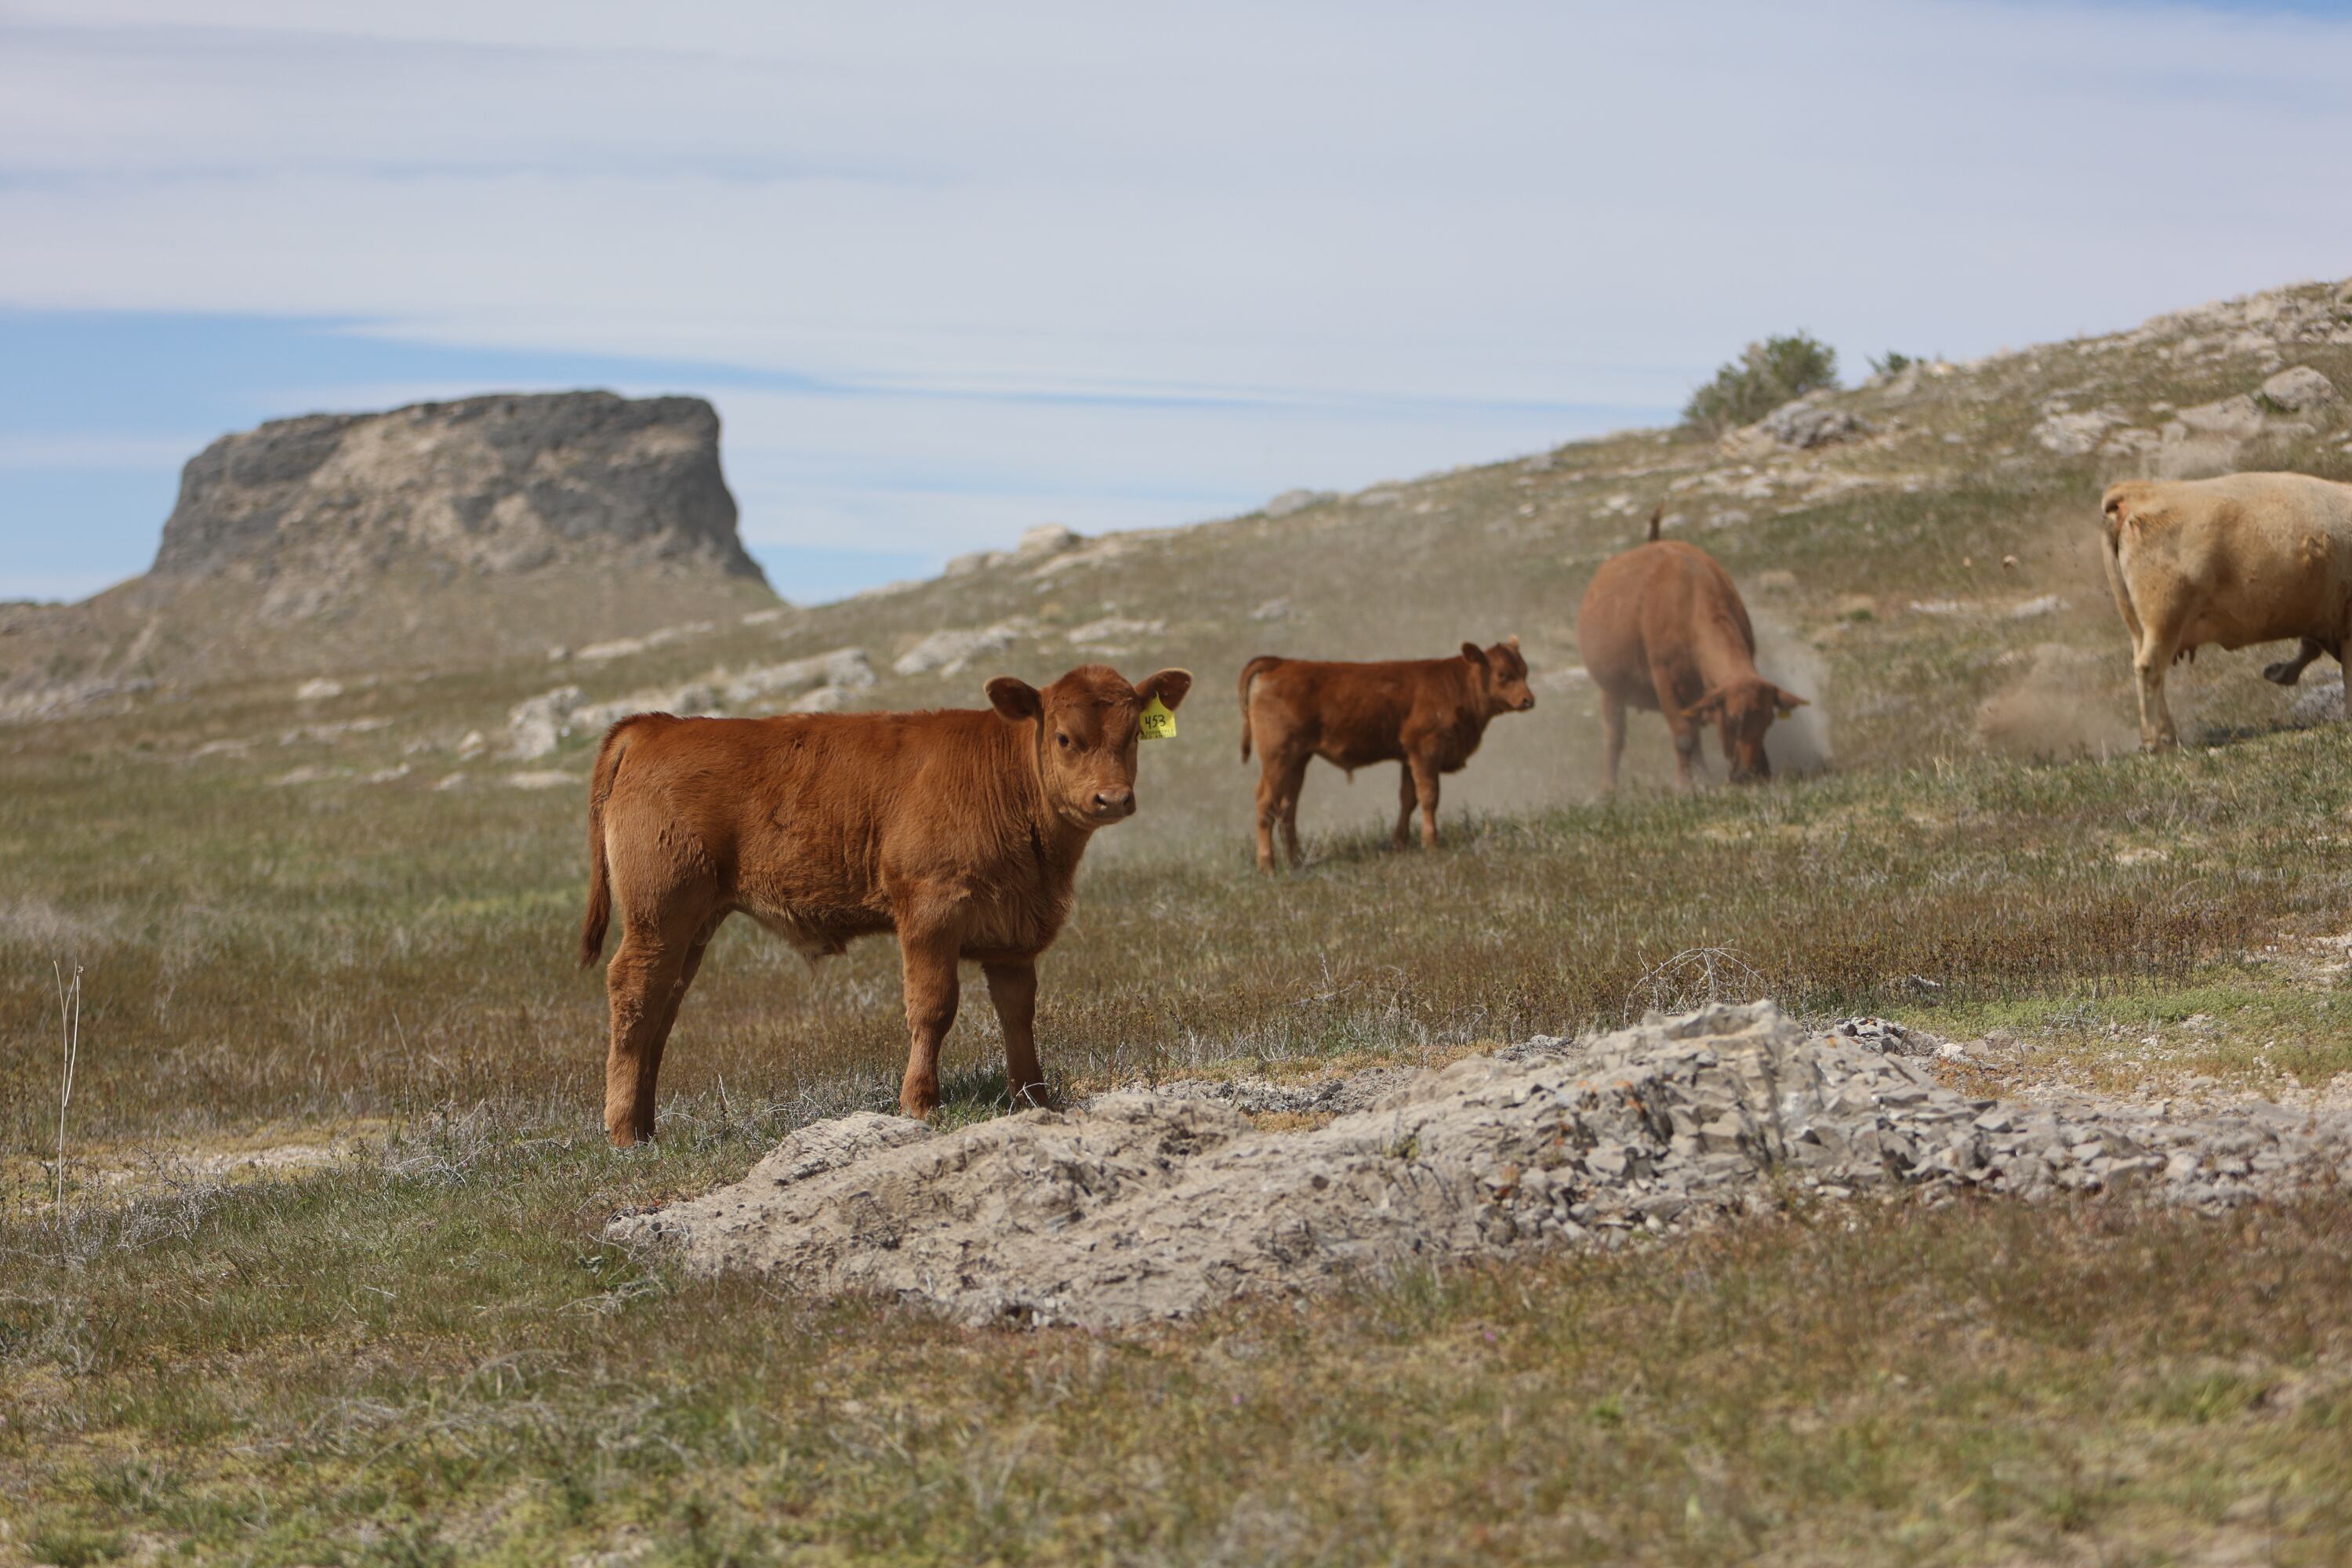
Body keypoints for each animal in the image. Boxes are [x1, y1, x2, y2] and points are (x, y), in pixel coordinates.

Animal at [578, 663, 1193, 1144]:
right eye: (1064, 737)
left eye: (1134, 733)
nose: (1112, 798)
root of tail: (656, 726)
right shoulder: (929, 910)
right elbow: (933, 1007)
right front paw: (920, 1102)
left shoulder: (1014, 934)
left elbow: (1018, 1013)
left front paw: (1034, 1098)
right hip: (660, 912)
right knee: (633, 990)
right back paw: (622, 1132)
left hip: (694, 922)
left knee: (663, 1005)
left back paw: (646, 1127)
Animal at [1236, 640, 1534, 872]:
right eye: (1502, 674)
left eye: (1524, 671)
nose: (1529, 700)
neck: (1455, 685)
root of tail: (1282, 663)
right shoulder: (1425, 749)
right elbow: (1429, 797)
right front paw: (1432, 843)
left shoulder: (1408, 757)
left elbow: (1408, 799)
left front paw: (1401, 844)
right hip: (1277, 757)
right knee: (1265, 803)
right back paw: (1267, 866)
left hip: (1298, 760)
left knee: (1287, 808)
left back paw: (1296, 862)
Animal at [1577, 532, 1807, 793]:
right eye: (1732, 719)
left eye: (1768, 721)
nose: (1749, 775)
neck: (1689, 599)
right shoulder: (1664, 678)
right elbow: (1684, 735)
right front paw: (1687, 783)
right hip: (1611, 690)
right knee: (1614, 736)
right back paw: (1609, 787)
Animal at [2100, 472, 2352, 751]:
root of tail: (2137, 492)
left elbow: (2312, 649)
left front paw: (2280, 672)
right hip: (2164, 617)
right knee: (2149, 667)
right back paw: (2156, 741)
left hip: (2137, 622)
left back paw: (2168, 736)